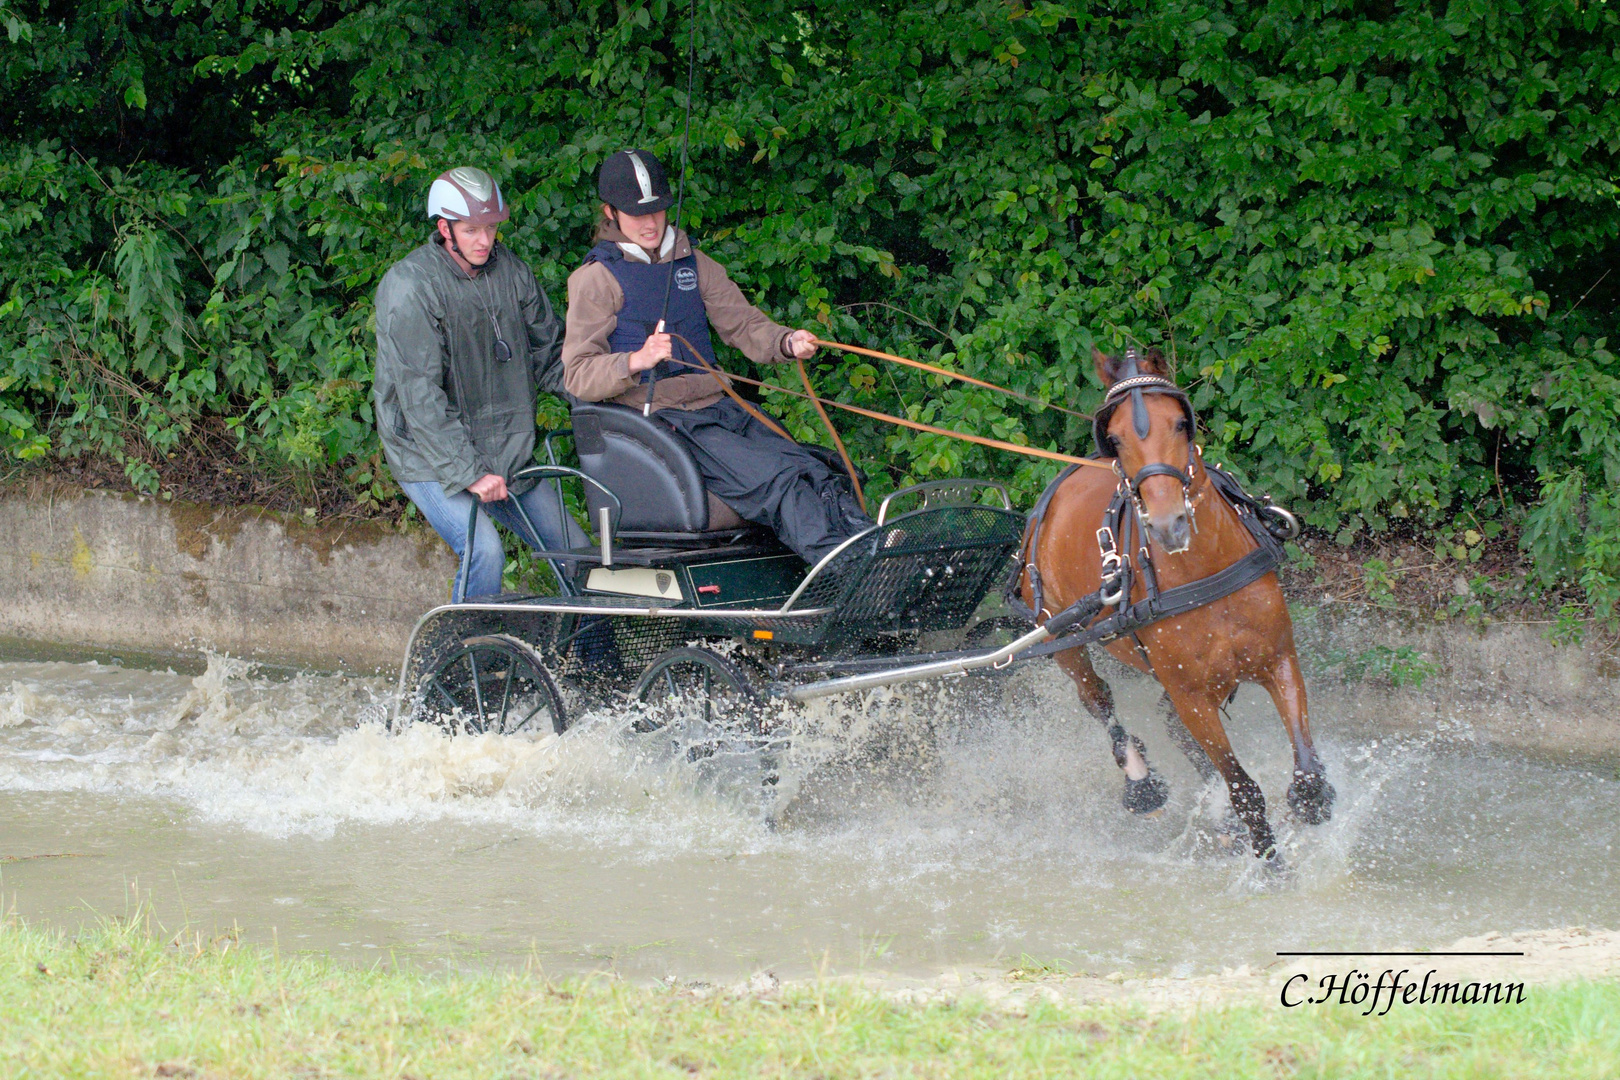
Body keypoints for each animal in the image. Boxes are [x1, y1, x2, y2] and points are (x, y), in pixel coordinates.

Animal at [1017, 351, 1334, 867]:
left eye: (1182, 423)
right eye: (1115, 438)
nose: (1169, 525)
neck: (1204, 573)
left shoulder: (1278, 659)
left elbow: (1306, 770)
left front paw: (1310, 804)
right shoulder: (1193, 697)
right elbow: (1245, 790)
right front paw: (1271, 866)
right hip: (1062, 641)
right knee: (1098, 701)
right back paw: (1140, 780)